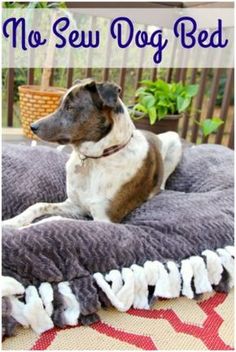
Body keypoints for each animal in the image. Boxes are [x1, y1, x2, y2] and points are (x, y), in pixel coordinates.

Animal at [2, 78, 182, 227]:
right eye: (60, 105)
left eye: (70, 107)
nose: (33, 126)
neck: (95, 158)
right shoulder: (75, 205)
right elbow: (38, 205)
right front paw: (11, 222)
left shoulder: (105, 220)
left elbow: (53, 219)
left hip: (175, 139)